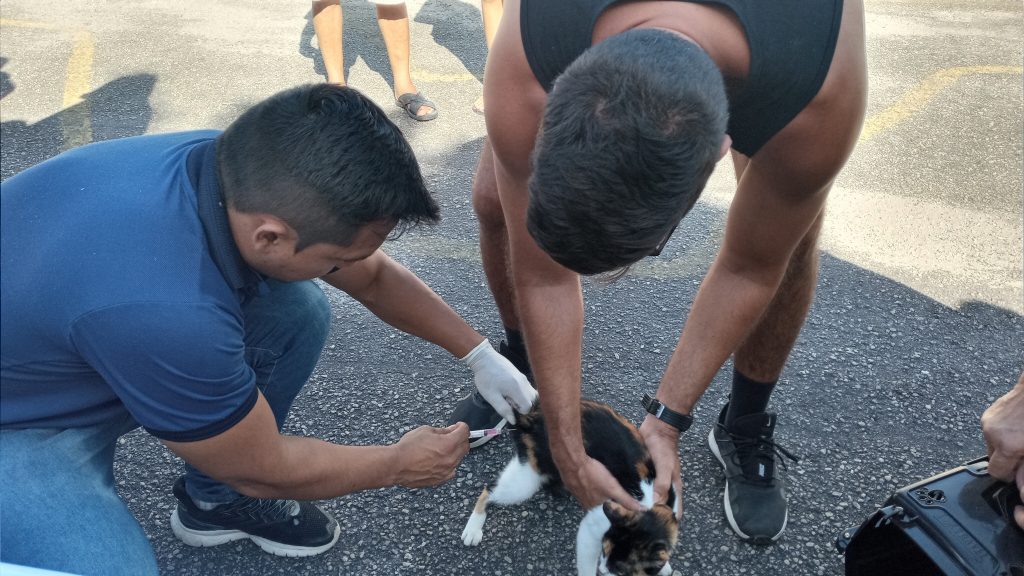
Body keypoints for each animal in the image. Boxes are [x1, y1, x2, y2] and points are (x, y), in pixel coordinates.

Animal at [460, 399, 675, 573]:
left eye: (621, 568)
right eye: (605, 552)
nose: (604, 569)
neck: (646, 504)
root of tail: (530, 419)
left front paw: (664, 567)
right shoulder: (593, 526)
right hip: (527, 479)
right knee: (490, 489)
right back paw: (473, 528)